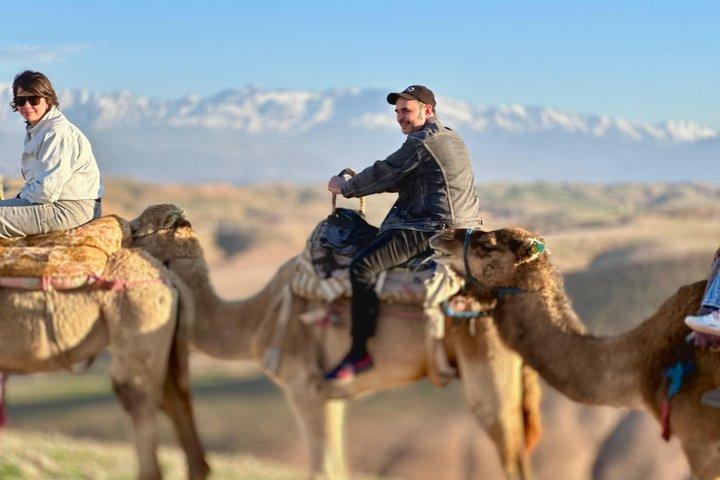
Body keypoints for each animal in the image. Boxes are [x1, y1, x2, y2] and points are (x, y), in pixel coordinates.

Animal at [129, 204, 542, 480]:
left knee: (510, 452)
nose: (119, 229)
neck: (258, 318)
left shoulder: (307, 389)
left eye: (138, 229)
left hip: (488, 369)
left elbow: (323, 469)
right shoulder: (334, 396)